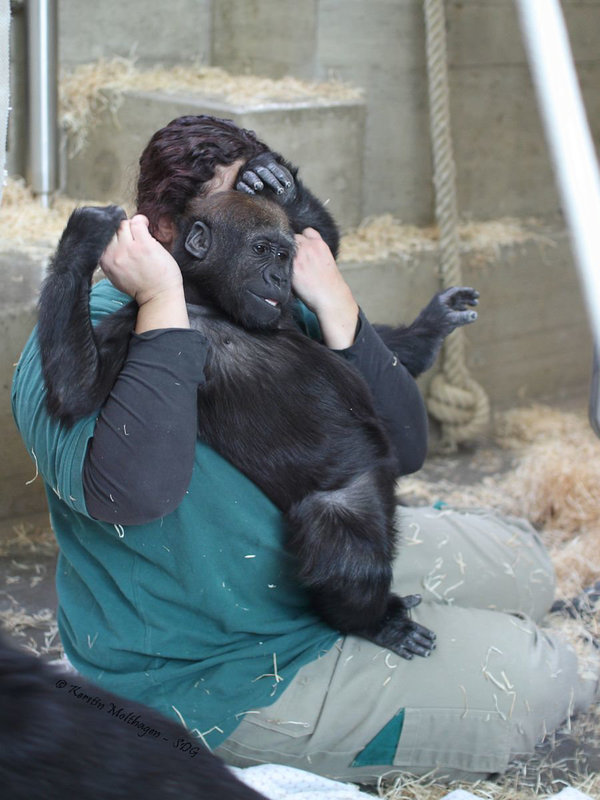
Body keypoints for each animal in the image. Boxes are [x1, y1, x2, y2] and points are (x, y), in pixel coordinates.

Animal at [38, 192, 478, 656]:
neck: (207, 302)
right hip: (349, 495)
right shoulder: (132, 323)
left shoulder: (285, 310)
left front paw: (286, 191)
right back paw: (375, 621)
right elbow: (78, 389)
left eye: (285, 256)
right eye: (261, 249)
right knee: (349, 553)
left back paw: (427, 334)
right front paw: (82, 242)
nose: (278, 276)